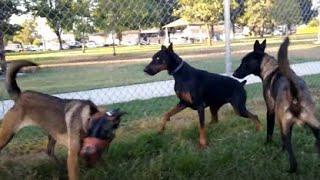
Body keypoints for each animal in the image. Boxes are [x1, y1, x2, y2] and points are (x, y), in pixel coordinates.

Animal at [232, 37, 320, 172]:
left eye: (245, 62)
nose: (234, 74)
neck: (271, 67)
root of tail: (294, 91)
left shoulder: (271, 111)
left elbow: (270, 131)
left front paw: (268, 144)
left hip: (284, 125)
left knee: (293, 161)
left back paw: (290, 170)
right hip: (313, 124)